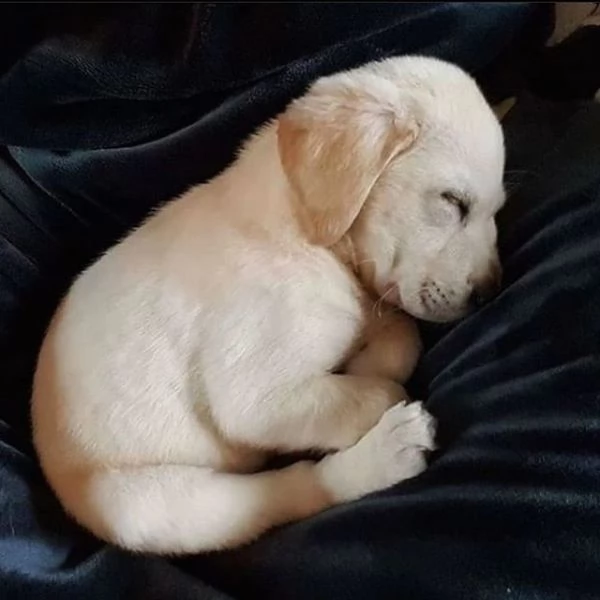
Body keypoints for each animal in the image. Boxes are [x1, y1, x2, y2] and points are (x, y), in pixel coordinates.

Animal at [30, 55, 504, 552]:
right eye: (453, 201)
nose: (490, 291)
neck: (305, 232)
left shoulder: (369, 305)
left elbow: (400, 335)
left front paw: (363, 359)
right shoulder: (255, 397)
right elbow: (377, 390)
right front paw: (364, 384)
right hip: (150, 502)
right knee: (290, 488)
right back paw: (387, 454)